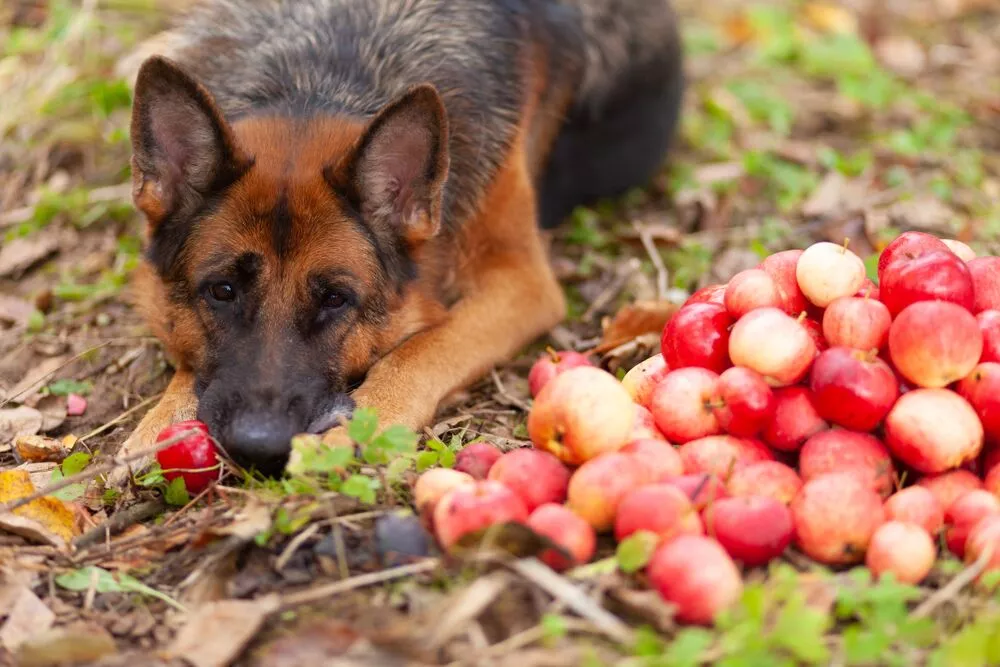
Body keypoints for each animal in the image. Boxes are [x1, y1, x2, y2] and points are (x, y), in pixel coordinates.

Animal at [115, 0, 680, 480]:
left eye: (335, 299)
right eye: (222, 291)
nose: (259, 445)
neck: (322, 73)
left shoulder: (522, 281)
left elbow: (428, 345)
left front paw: (361, 423)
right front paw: (160, 419)